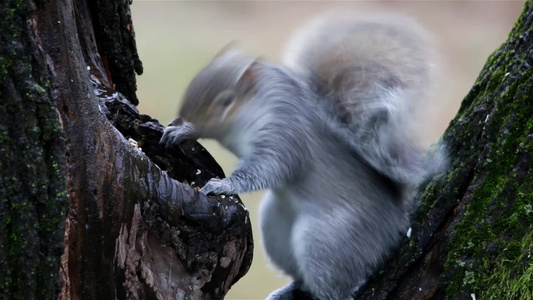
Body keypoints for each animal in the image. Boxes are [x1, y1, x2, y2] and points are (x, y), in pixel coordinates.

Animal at [160, 12, 446, 300]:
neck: (254, 109)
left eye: (226, 101)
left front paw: (222, 184)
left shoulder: (284, 138)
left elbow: (264, 169)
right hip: (276, 230)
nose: (185, 115)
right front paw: (180, 131)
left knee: (336, 284)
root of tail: (395, 223)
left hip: (327, 245)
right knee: (304, 279)